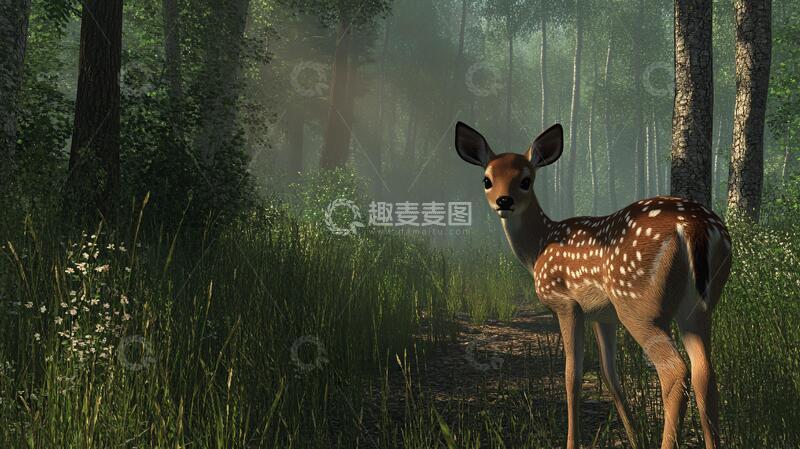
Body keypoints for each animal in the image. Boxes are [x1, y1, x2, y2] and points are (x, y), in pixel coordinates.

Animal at [454, 122, 732, 449]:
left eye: (525, 180)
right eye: (487, 180)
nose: (504, 201)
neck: (539, 247)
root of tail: (694, 226)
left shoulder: (566, 303)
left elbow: (572, 375)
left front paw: (571, 443)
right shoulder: (603, 315)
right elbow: (610, 375)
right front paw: (635, 439)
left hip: (638, 305)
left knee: (675, 371)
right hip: (698, 307)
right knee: (705, 374)